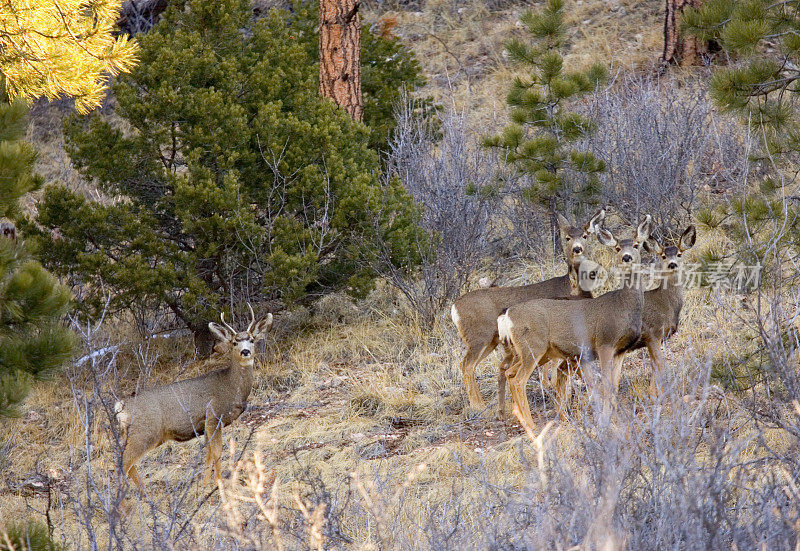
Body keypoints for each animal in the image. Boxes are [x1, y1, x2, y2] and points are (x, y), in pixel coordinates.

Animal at [114, 306, 274, 492]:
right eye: (234, 342)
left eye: (252, 340)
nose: (245, 351)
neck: (231, 387)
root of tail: (121, 406)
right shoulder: (213, 416)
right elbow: (217, 451)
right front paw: (219, 483)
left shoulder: (204, 425)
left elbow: (208, 453)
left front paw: (205, 484)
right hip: (144, 432)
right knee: (123, 463)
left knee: (126, 462)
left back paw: (142, 492)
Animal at [454, 208, 604, 414]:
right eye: (567, 237)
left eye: (585, 235)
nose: (577, 249)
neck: (571, 287)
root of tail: (454, 307)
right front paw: (553, 389)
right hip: (479, 336)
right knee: (466, 365)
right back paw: (477, 405)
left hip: (490, 341)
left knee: (471, 365)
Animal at [500, 217, 648, 432]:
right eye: (618, 248)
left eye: (636, 245)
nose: (627, 257)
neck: (623, 306)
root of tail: (507, 315)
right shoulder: (604, 343)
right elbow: (605, 385)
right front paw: (605, 420)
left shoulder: (621, 350)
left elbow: (615, 384)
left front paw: (614, 416)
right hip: (533, 347)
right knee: (519, 380)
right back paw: (532, 426)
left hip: (537, 352)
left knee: (510, 373)